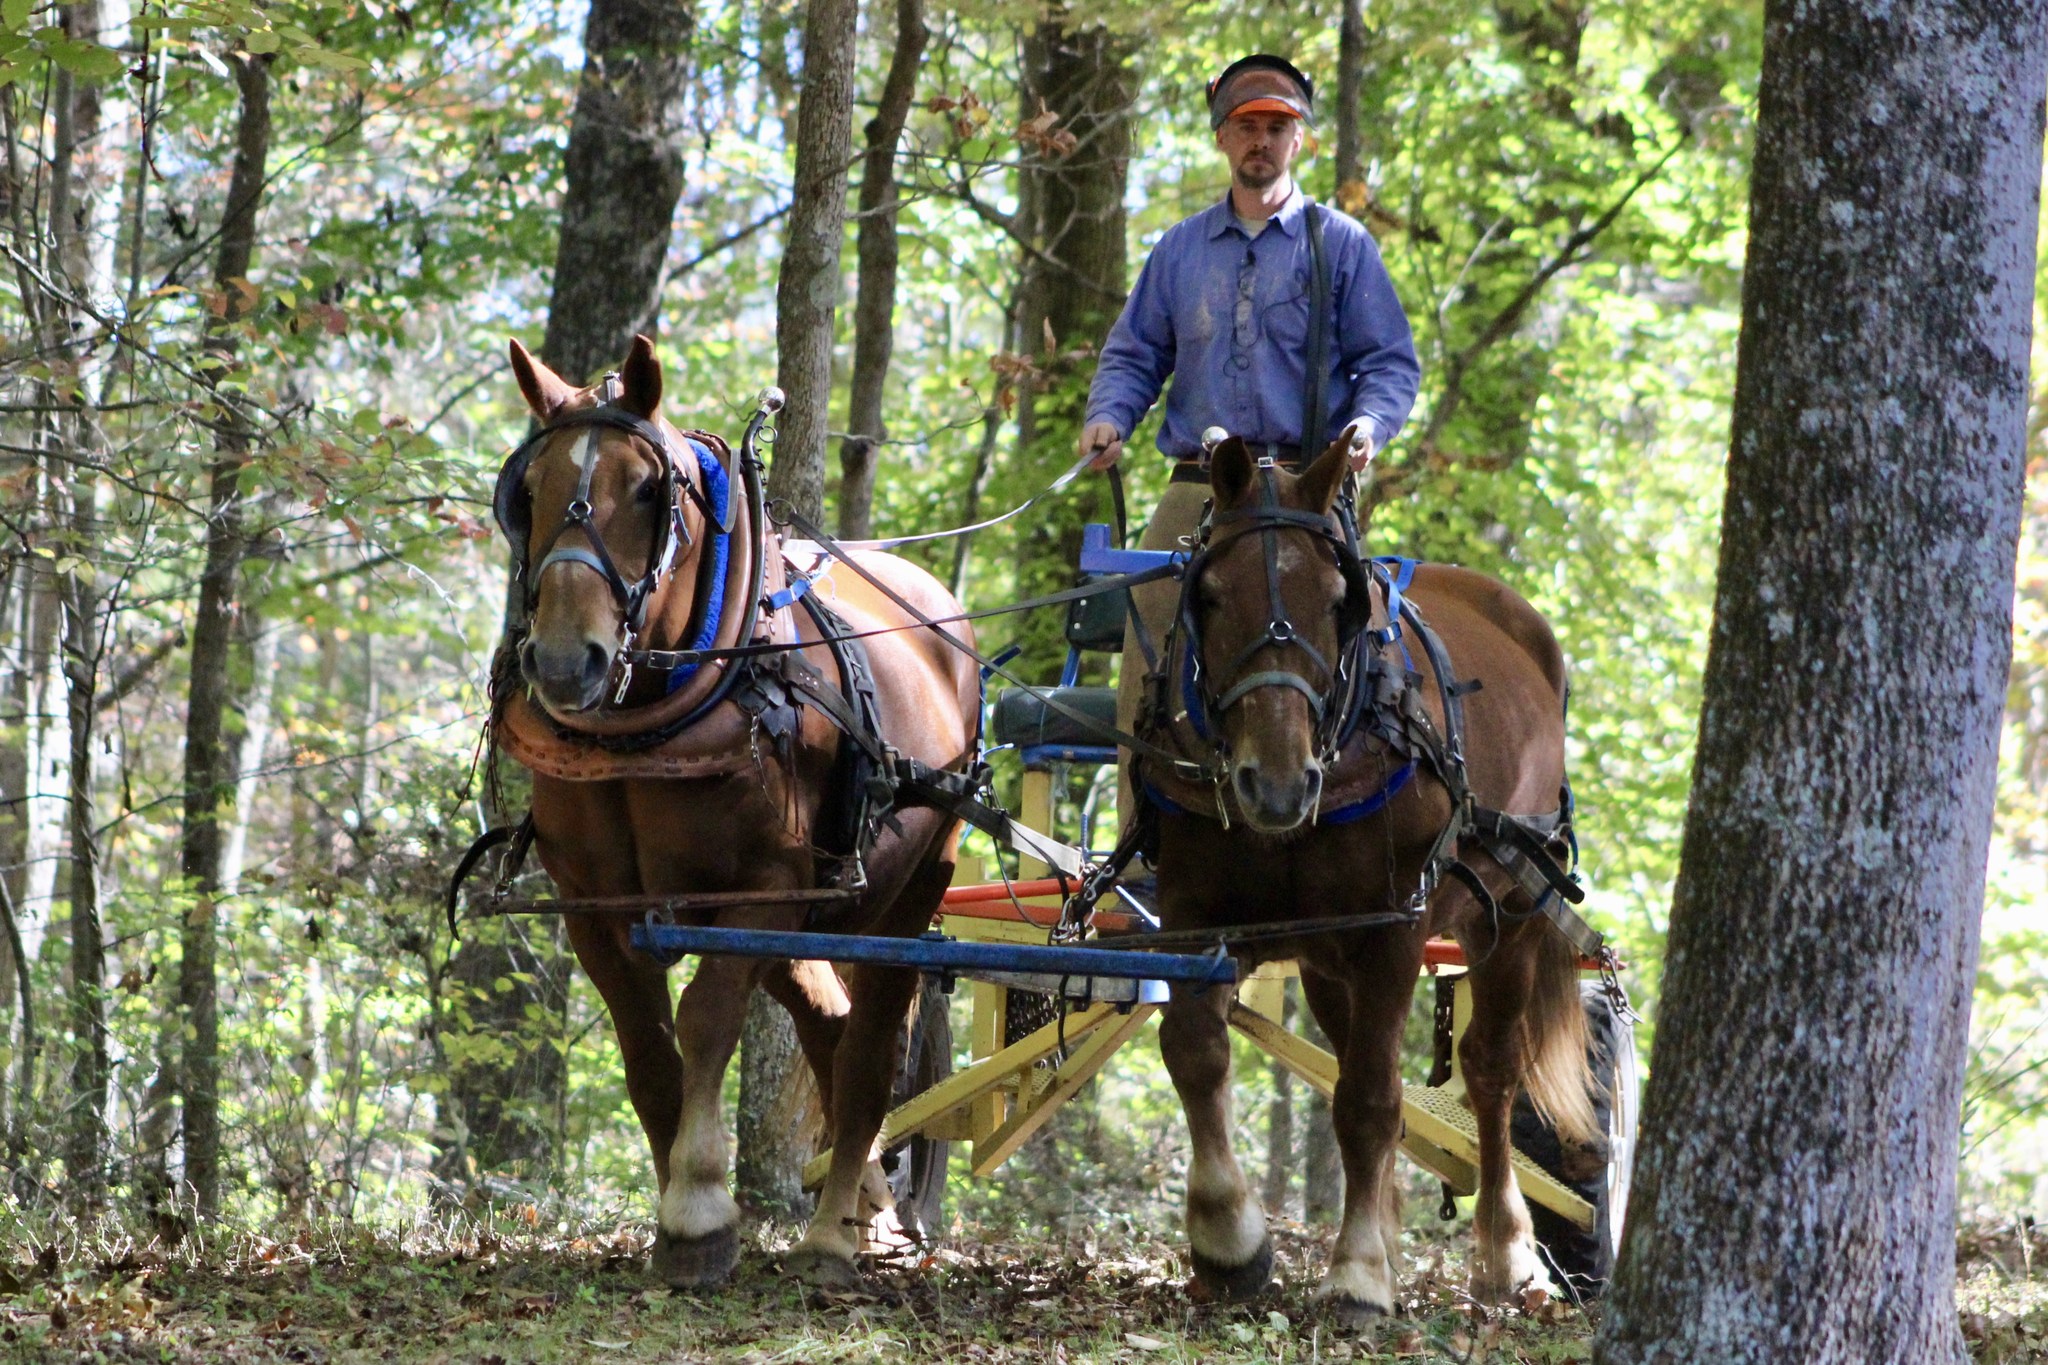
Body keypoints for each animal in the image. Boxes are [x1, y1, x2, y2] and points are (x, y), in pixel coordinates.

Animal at [490, 335, 979, 1289]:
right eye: (526, 495)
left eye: (649, 489)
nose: (565, 663)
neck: (657, 726)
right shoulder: (593, 906)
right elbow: (648, 1049)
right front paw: (676, 1202)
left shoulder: (758, 894)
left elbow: (706, 1020)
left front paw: (698, 1209)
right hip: (811, 916)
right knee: (829, 1027)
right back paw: (866, 1206)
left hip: (907, 888)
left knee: (871, 1050)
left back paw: (836, 1233)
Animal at [1131, 432, 1600, 1319]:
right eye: (1209, 594)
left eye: (1335, 599)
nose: (1277, 784)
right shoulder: (1194, 912)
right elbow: (1197, 1051)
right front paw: (1229, 1236)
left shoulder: (1393, 927)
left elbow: (1372, 1097)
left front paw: (1355, 1274)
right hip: (1326, 952)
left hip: (1514, 907)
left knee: (1491, 1070)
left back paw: (1506, 1250)